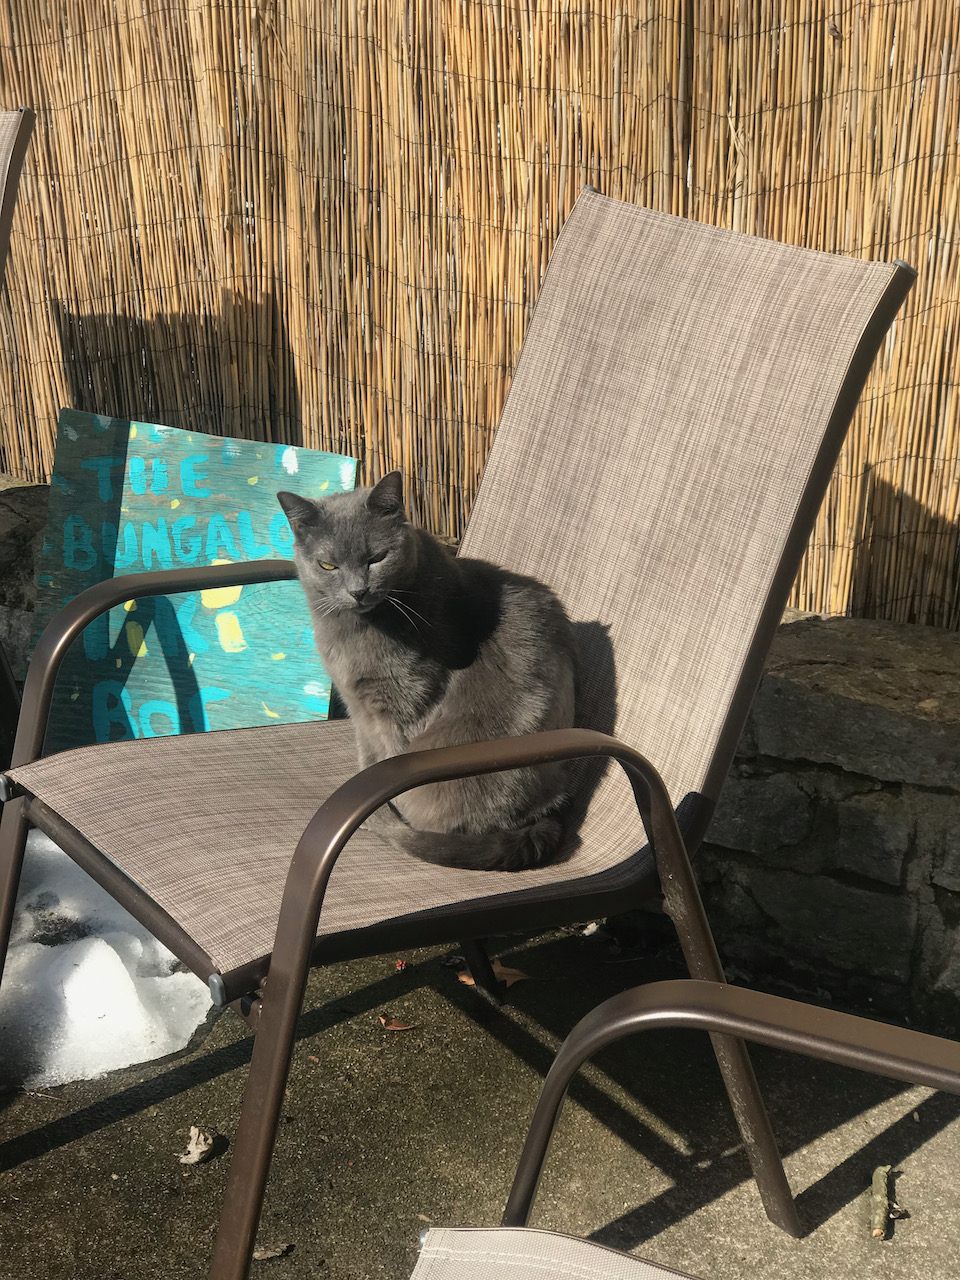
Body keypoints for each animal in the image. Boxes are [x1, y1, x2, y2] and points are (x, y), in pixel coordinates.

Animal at [277, 471, 578, 870]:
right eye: (328, 566)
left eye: (377, 558)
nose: (358, 591)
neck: (355, 631)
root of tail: (547, 812)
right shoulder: (360, 710)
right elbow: (367, 756)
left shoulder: (405, 706)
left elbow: (387, 761)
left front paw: (380, 815)